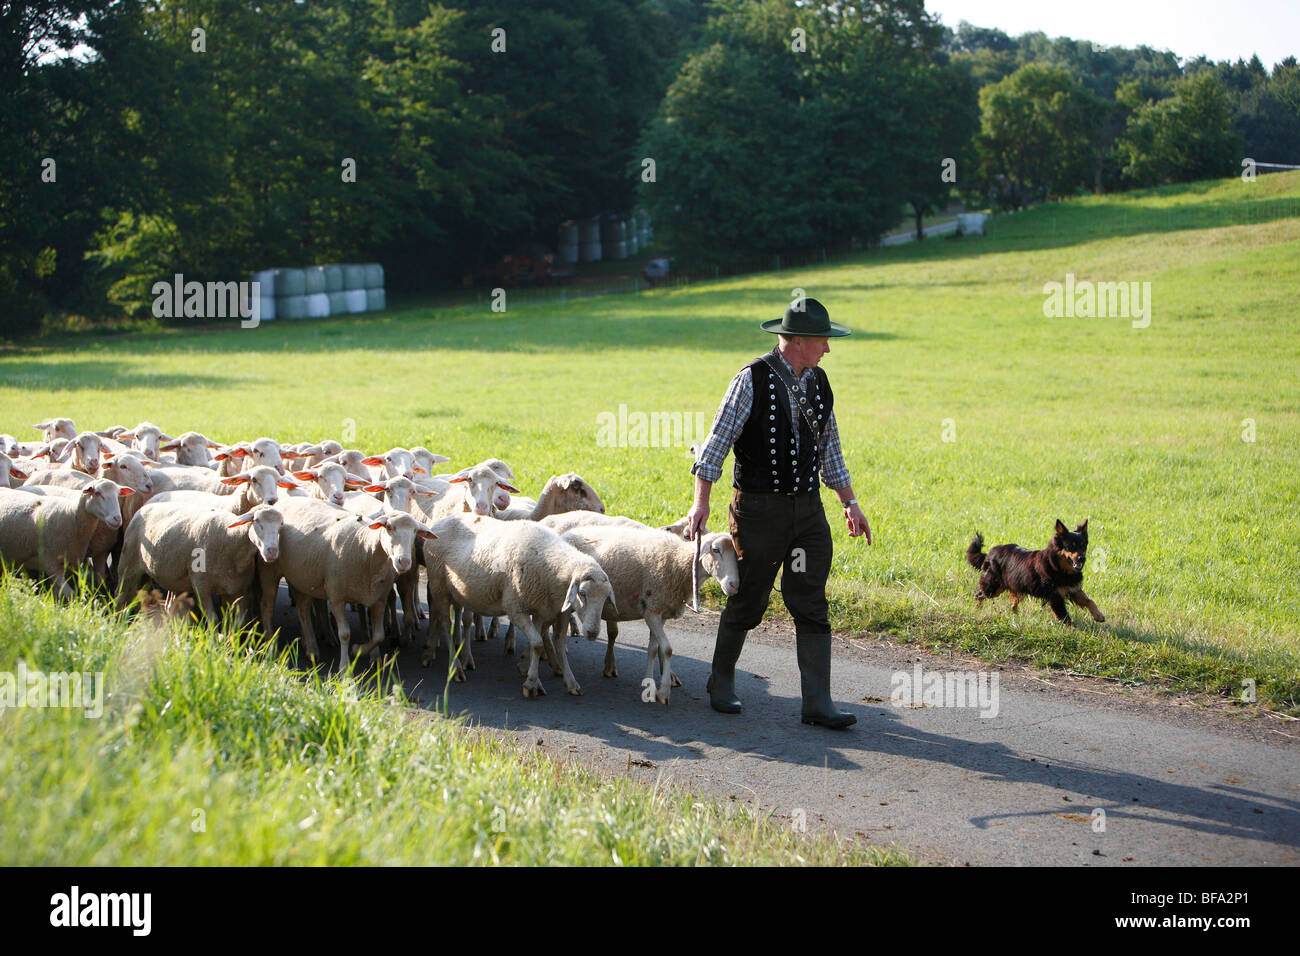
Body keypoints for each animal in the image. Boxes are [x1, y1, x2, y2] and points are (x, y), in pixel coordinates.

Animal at [967, 520, 1107, 624]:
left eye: (1083, 546)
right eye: (1070, 546)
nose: (1082, 558)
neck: (1058, 567)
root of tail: (990, 553)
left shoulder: (1073, 589)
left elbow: (1089, 601)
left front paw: (1098, 615)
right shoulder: (1055, 596)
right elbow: (1063, 615)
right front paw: (1071, 627)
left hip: (1016, 586)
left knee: (1013, 602)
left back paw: (1016, 615)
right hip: (994, 587)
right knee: (980, 595)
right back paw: (976, 610)